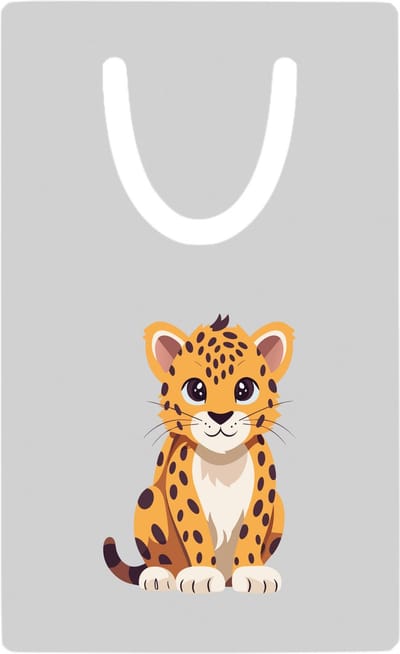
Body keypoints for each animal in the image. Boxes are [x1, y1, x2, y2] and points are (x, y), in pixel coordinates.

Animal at [103, 314, 294, 593]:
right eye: (196, 390)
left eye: (244, 390)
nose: (220, 416)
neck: (222, 460)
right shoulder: (181, 491)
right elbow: (195, 531)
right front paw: (201, 575)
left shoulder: (264, 493)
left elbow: (252, 530)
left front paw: (251, 572)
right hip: (150, 498)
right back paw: (159, 576)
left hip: (278, 503)